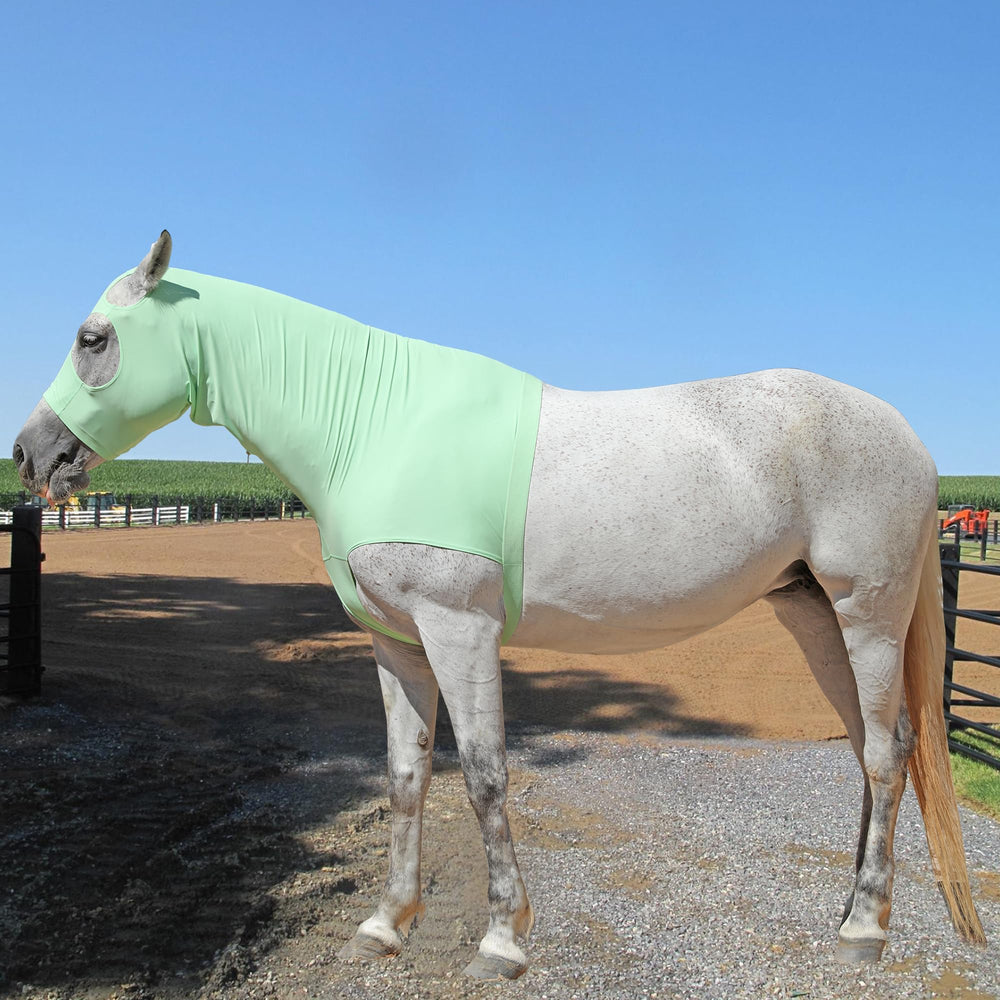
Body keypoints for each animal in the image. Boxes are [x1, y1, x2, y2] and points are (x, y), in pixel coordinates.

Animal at [13, 231, 986, 980]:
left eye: (93, 337)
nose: (31, 454)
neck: (374, 424)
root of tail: (910, 437)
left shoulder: (459, 631)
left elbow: (482, 773)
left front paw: (501, 942)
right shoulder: (396, 643)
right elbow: (405, 775)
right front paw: (384, 925)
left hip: (866, 615)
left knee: (887, 756)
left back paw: (863, 930)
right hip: (813, 615)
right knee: (871, 751)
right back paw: (852, 909)